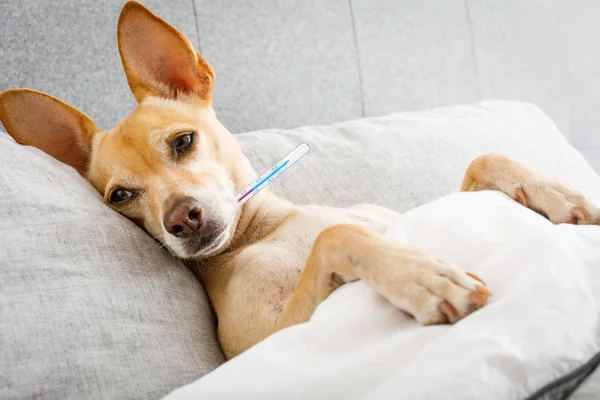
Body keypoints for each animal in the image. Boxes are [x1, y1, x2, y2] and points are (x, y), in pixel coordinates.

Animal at [1, 0, 600, 360]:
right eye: (121, 196)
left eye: (183, 142)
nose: (181, 221)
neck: (268, 228)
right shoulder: (274, 339)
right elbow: (339, 236)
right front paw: (420, 276)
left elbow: (484, 158)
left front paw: (565, 196)